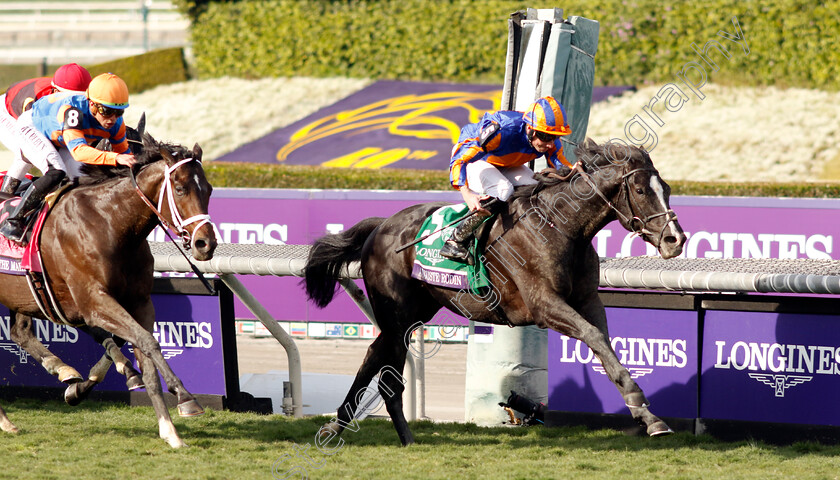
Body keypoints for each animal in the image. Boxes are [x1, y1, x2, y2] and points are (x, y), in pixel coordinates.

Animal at [0, 133, 218, 448]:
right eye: (180, 189)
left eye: (209, 190)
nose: (206, 243)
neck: (110, 223)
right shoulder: (93, 301)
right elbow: (147, 343)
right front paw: (185, 397)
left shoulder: (139, 303)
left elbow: (144, 354)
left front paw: (169, 430)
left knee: (20, 332)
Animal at [306, 140, 684, 446]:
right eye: (640, 190)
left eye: (666, 188)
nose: (675, 240)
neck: (561, 227)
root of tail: (381, 225)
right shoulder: (545, 305)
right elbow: (593, 336)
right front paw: (645, 410)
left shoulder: (588, 300)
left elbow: (604, 344)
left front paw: (648, 416)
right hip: (396, 314)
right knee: (387, 374)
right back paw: (396, 435)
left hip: (416, 311)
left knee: (373, 355)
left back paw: (342, 426)